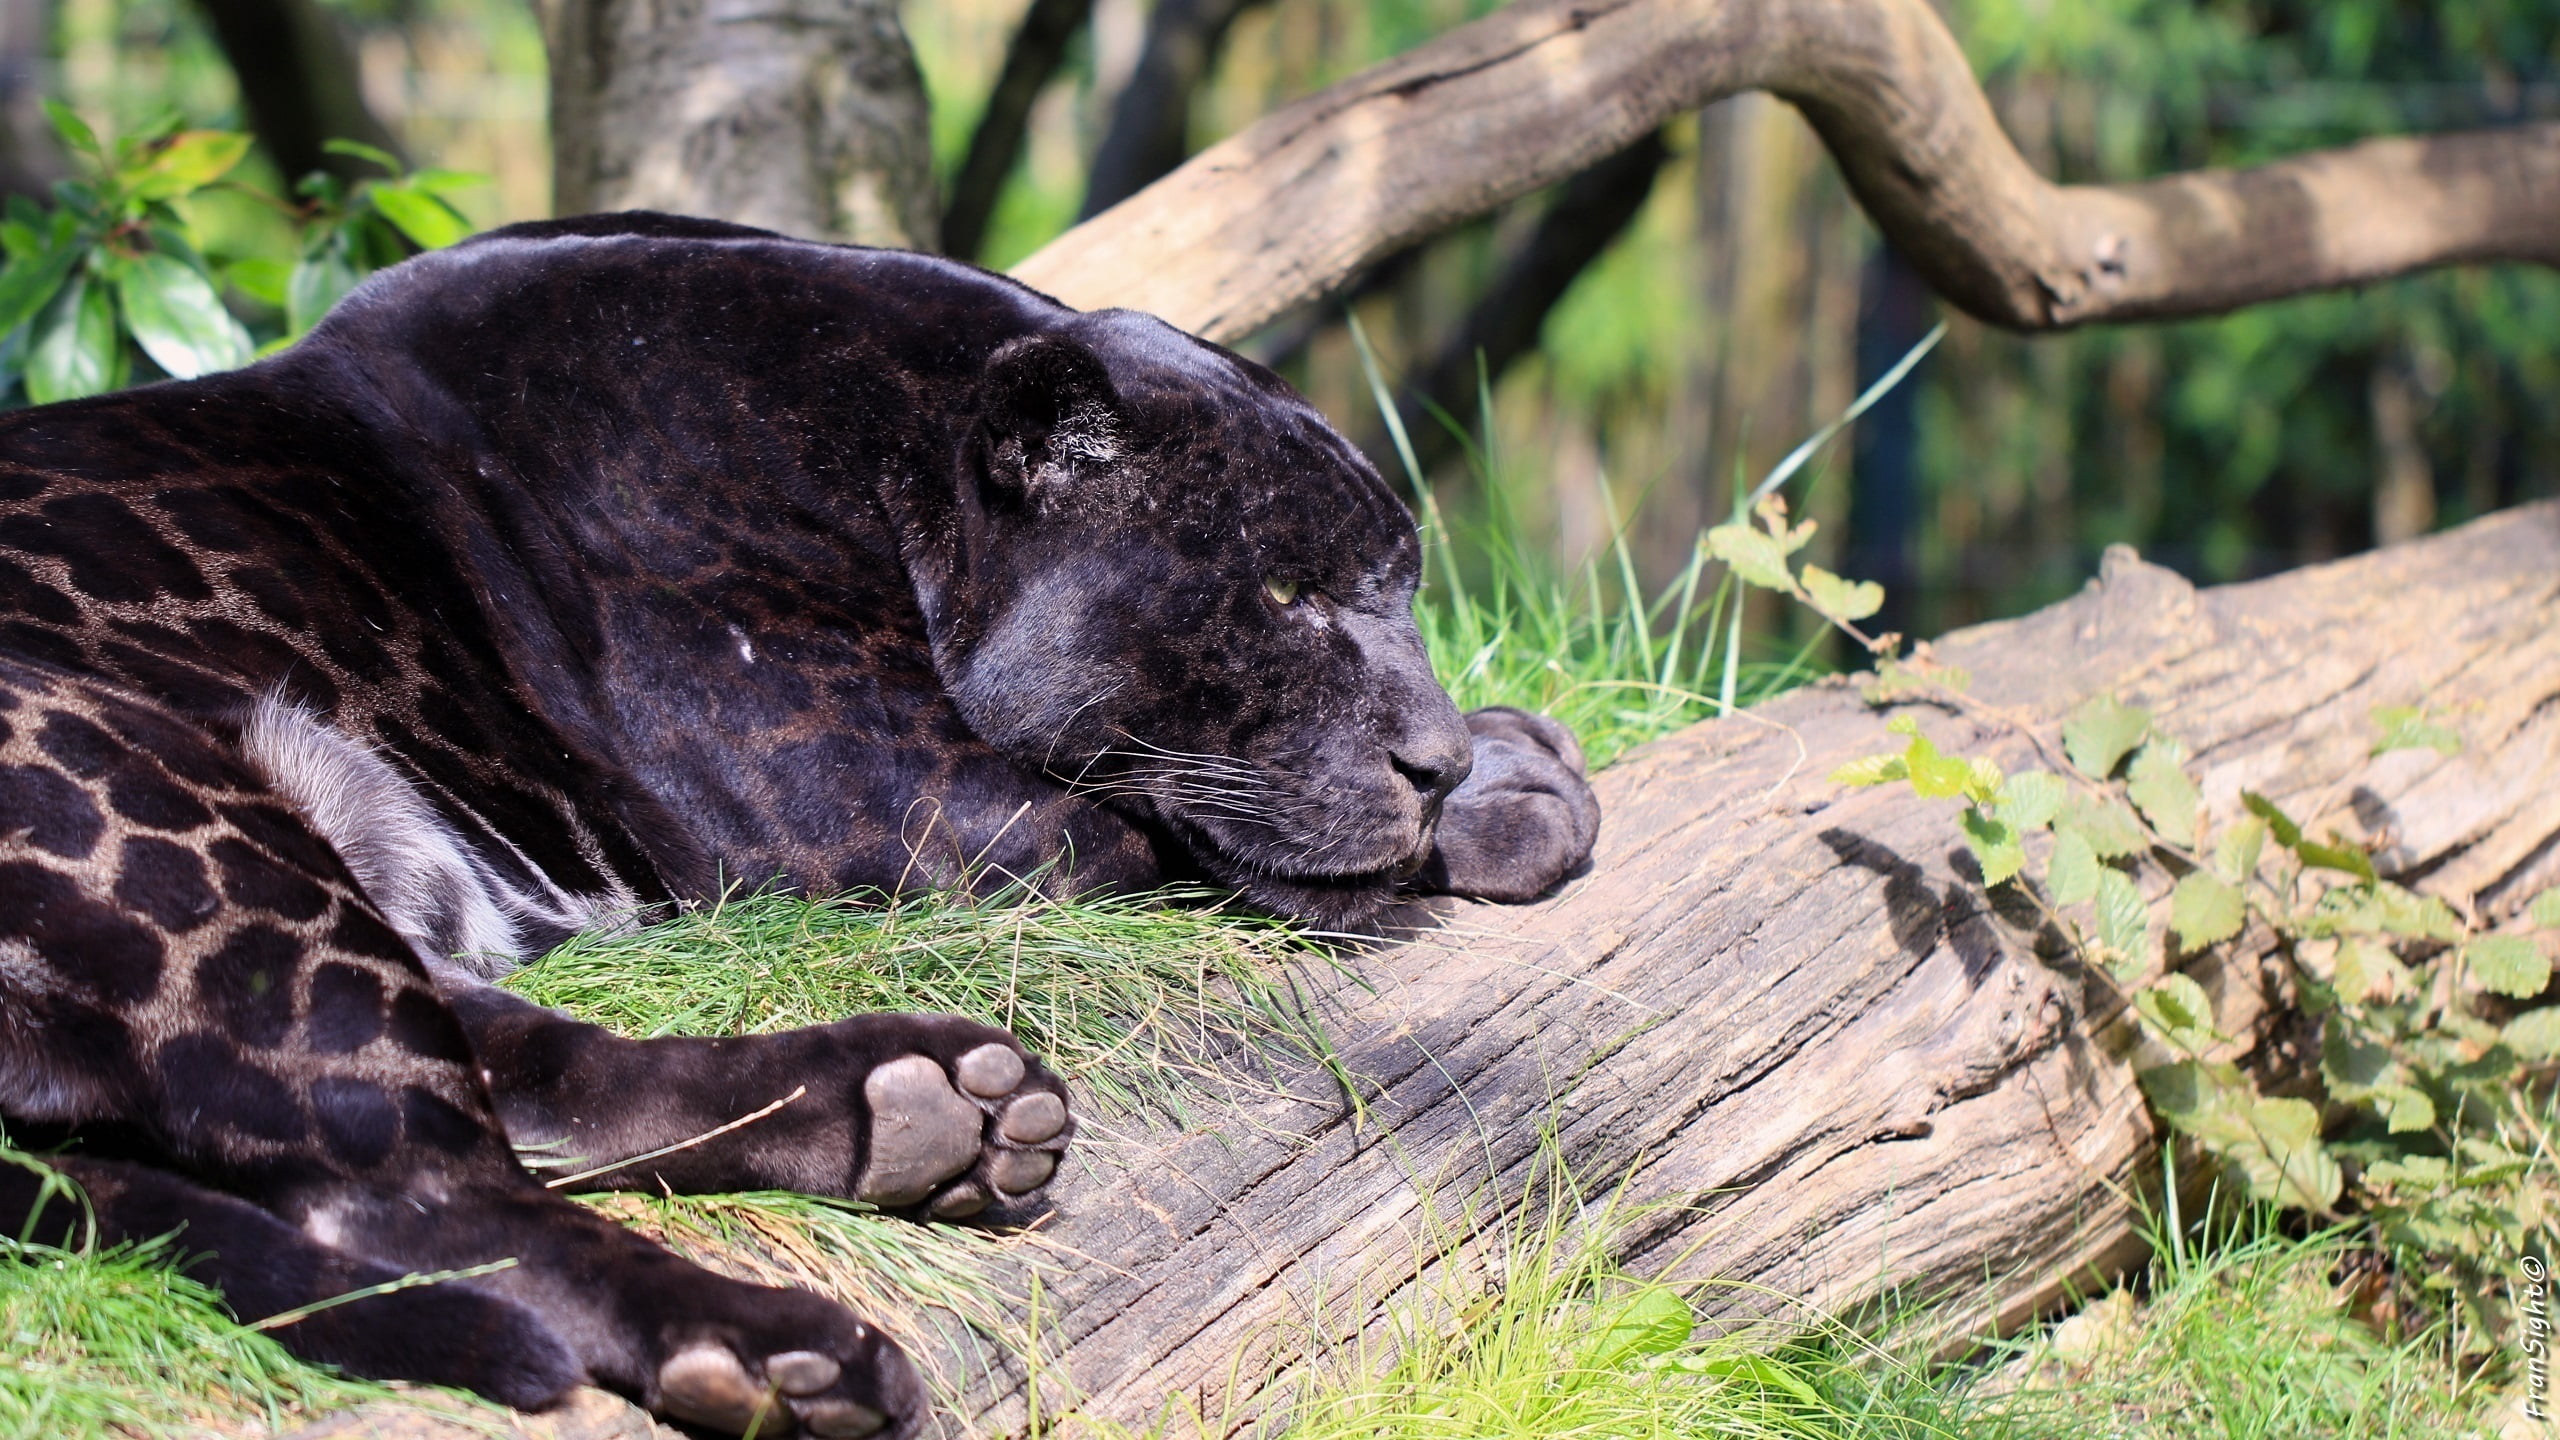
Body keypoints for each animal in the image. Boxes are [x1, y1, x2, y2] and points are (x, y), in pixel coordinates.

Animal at [0, 213, 1601, 1438]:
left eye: (1402, 589)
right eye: (1282, 595)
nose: (1431, 758)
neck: (888, 456)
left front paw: (1518, 762)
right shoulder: (902, 803)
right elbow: (1176, 833)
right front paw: (1503, 802)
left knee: (536, 1088)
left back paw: (930, 1113)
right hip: (178, 823)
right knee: (409, 1192)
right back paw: (780, 1349)